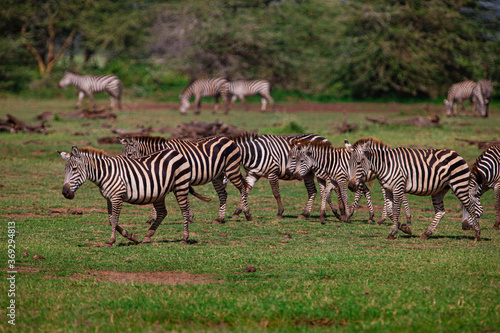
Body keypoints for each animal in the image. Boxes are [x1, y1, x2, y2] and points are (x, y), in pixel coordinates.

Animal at [57, 146, 192, 246]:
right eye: (64, 169)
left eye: (75, 169)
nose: (65, 193)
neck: (105, 173)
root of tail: (175, 152)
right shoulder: (109, 198)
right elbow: (111, 220)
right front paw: (131, 237)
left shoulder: (117, 197)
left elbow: (114, 219)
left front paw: (111, 241)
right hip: (159, 193)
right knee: (162, 212)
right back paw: (147, 236)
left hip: (181, 186)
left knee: (185, 211)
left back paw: (184, 238)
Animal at [118, 134, 252, 223]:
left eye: (129, 154)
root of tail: (227, 138)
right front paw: (190, 216)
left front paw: (152, 218)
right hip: (218, 175)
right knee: (223, 194)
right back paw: (220, 218)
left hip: (231, 169)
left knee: (242, 189)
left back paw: (247, 214)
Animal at [344, 136, 480, 240]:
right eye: (349, 164)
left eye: (359, 162)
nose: (351, 186)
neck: (386, 164)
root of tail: (457, 154)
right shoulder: (388, 190)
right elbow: (389, 211)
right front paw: (405, 229)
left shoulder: (398, 188)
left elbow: (395, 211)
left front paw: (393, 233)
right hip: (439, 190)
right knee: (440, 211)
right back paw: (426, 234)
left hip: (459, 185)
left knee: (470, 206)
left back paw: (477, 235)